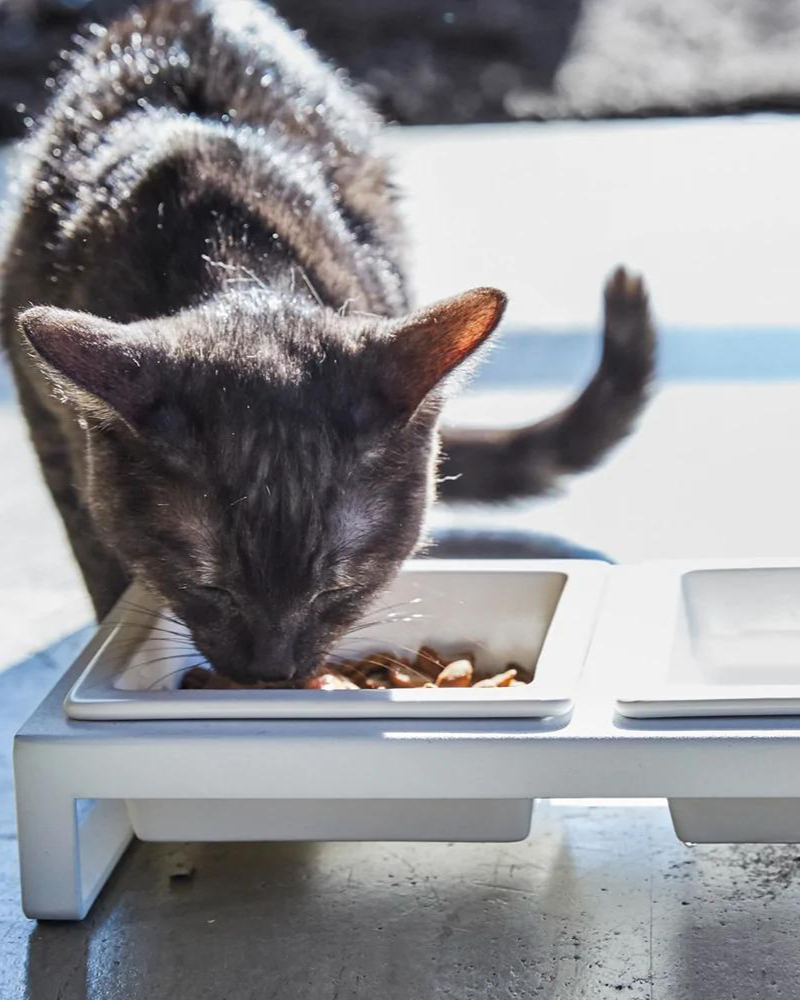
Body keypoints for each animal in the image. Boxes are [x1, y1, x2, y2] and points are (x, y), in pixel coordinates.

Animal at [0, 0, 652, 688]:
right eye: (209, 587)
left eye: (337, 589)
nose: (271, 672)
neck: (234, 259)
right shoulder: (53, 430)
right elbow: (99, 555)